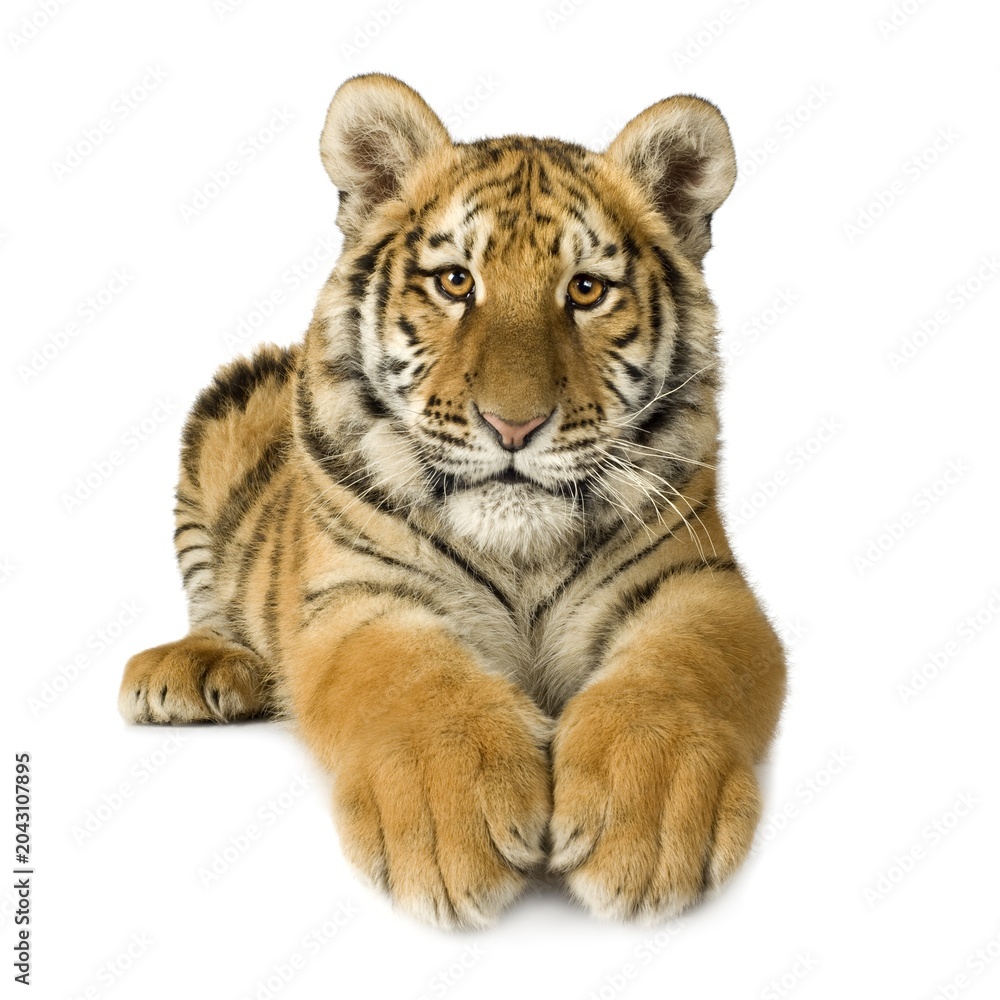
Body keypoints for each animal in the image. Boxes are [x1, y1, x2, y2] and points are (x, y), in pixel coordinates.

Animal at [119, 73, 786, 928]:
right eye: (455, 281)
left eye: (586, 290)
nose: (514, 425)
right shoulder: (358, 596)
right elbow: (411, 682)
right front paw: (451, 820)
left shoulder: (697, 582)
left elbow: (674, 674)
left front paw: (648, 818)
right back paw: (195, 670)